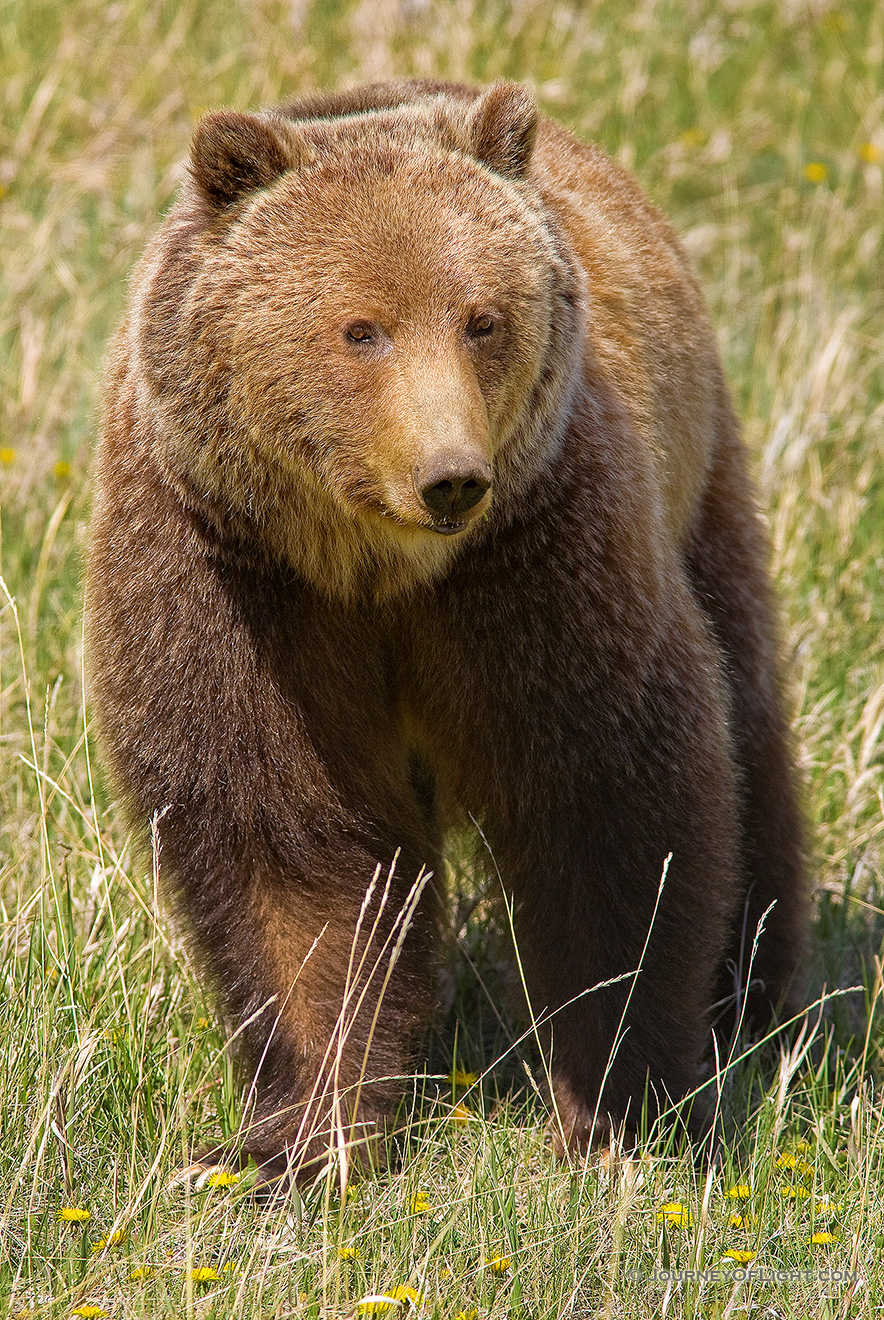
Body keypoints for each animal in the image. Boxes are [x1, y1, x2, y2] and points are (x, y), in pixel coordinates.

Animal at [88, 77, 812, 1182]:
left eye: (481, 319)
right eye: (360, 329)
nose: (451, 478)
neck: (377, 570)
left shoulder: (535, 568)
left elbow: (611, 803)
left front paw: (615, 1111)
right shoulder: (233, 585)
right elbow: (289, 848)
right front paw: (303, 1140)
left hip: (697, 485)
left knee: (746, 719)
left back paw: (754, 995)